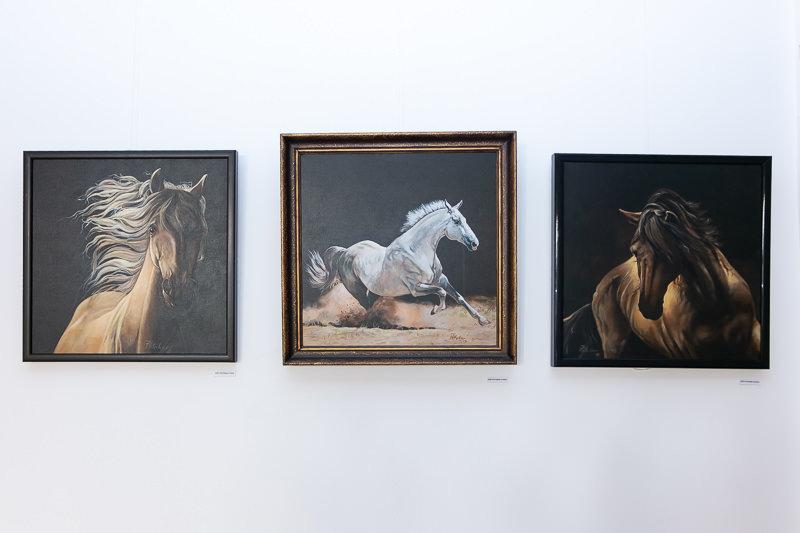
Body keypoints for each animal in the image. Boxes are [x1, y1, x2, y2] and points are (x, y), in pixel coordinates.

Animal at [305, 199, 490, 326]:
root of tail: (345, 252)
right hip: (357, 289)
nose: (475, 243)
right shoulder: (416, 288)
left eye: (464, 219)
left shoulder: (441, 279)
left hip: (372, 290)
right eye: (456, 221)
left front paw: (482, 320)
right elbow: (442, 292)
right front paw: (435, 310)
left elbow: (459, 297)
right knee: (367, 306)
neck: (417, 251)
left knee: (371, 305)